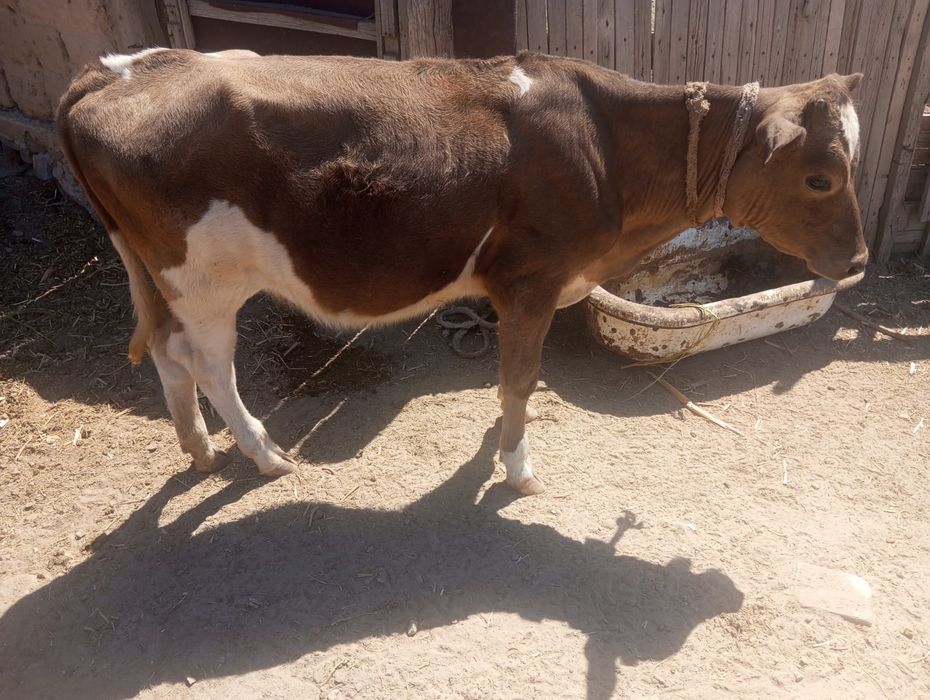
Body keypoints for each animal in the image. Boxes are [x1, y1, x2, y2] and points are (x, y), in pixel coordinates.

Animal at [56, 49, 866, 495]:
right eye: (822, 177)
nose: (858, 260)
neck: (607, 145)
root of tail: (115, 72)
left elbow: (513, 379)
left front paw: (502, 443)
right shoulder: (533, 280)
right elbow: (520, 378)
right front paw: (518, 468)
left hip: (162, 276)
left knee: (167, 353)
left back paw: (197, 450)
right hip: (206, 280)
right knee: (207, 363)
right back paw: (264, 455)